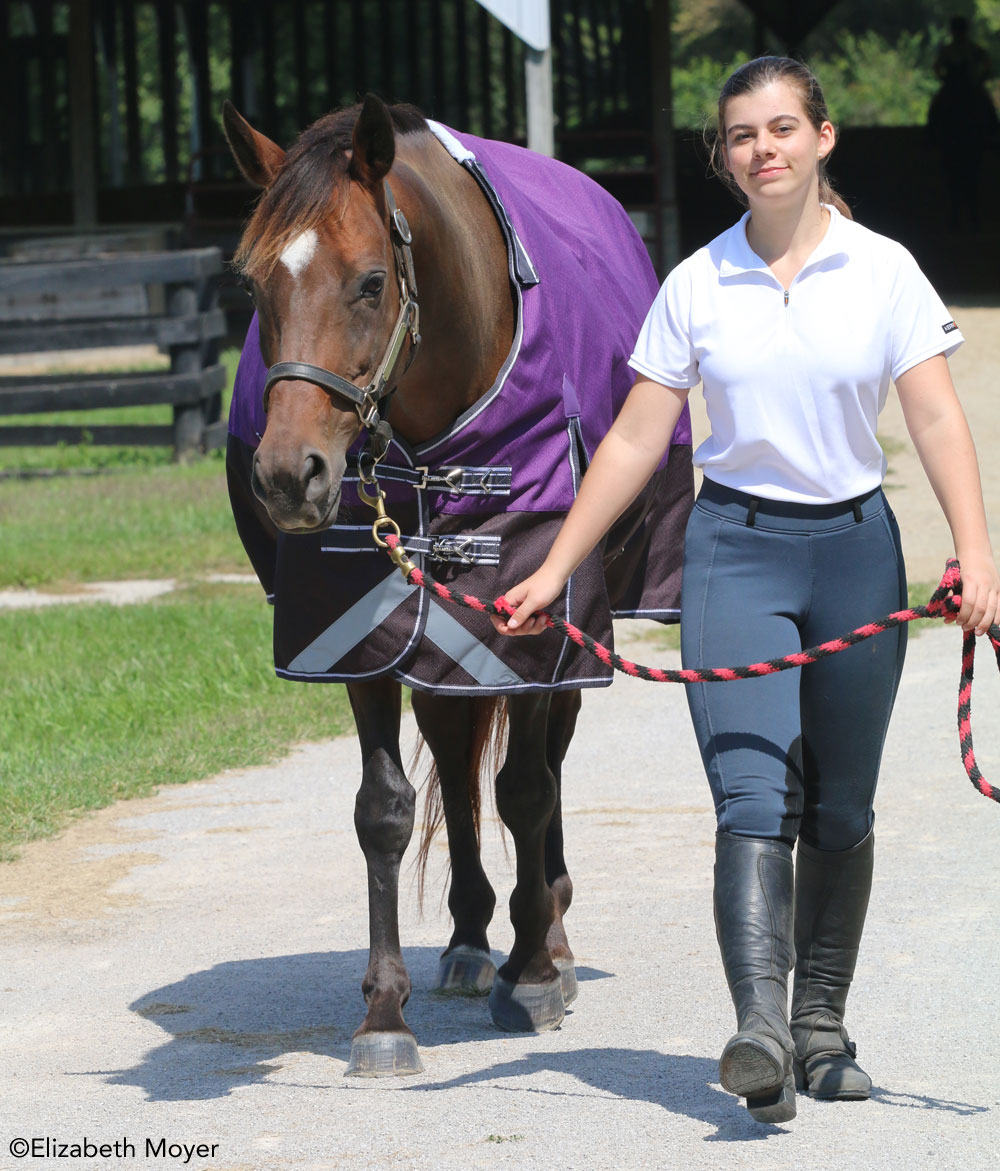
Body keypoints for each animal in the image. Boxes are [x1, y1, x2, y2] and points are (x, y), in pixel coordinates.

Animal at [222, 96, 693, 1072]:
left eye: (370, 282)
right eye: (254, 286)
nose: (290, 476)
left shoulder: (537, 629)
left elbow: (526, 789)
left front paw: (536, 975)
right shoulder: (355, 636)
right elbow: (384, 810)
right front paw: (383, 1015)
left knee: (544, 768)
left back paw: (547, 937)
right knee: (450, 748)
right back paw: (474, 937)